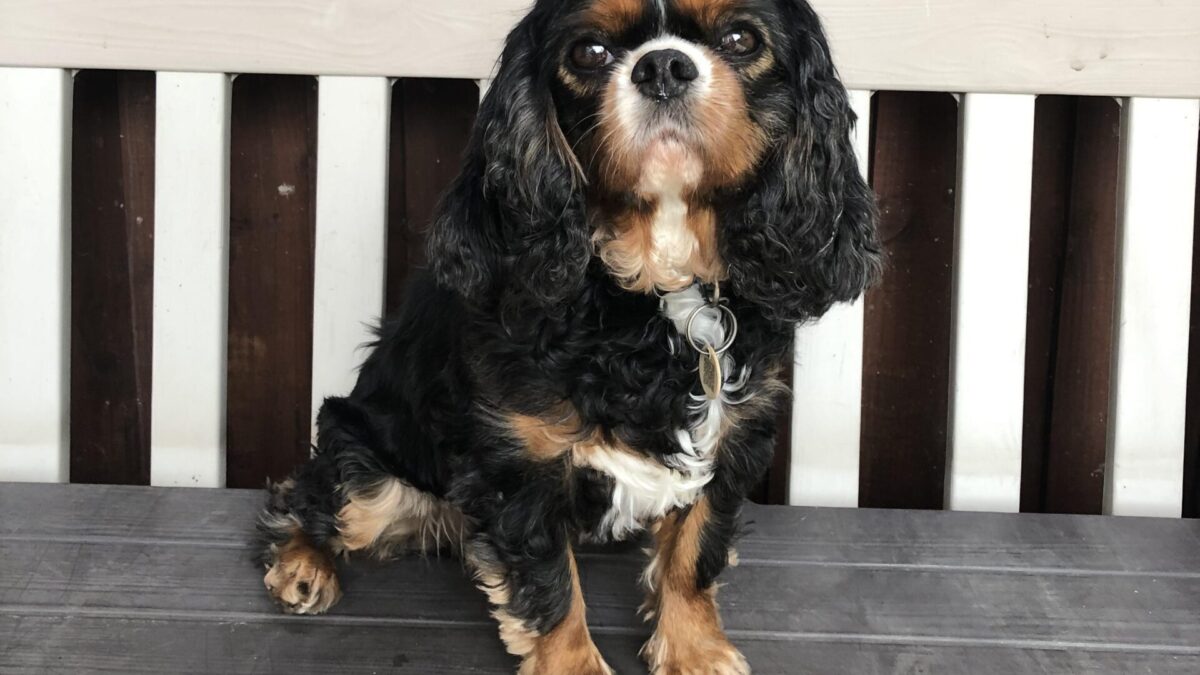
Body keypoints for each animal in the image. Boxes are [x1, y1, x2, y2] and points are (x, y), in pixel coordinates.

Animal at [258, 0, 883, 667]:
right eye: (588, 53)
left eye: (741, 39)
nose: (664, 67)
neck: (659, 290)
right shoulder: (518, 470)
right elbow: (552, 591)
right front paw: (575, 664)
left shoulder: (730, 439)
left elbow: (695, 552)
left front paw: (695, 651)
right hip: (367, 463)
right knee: (306, 495)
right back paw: (303, 566)